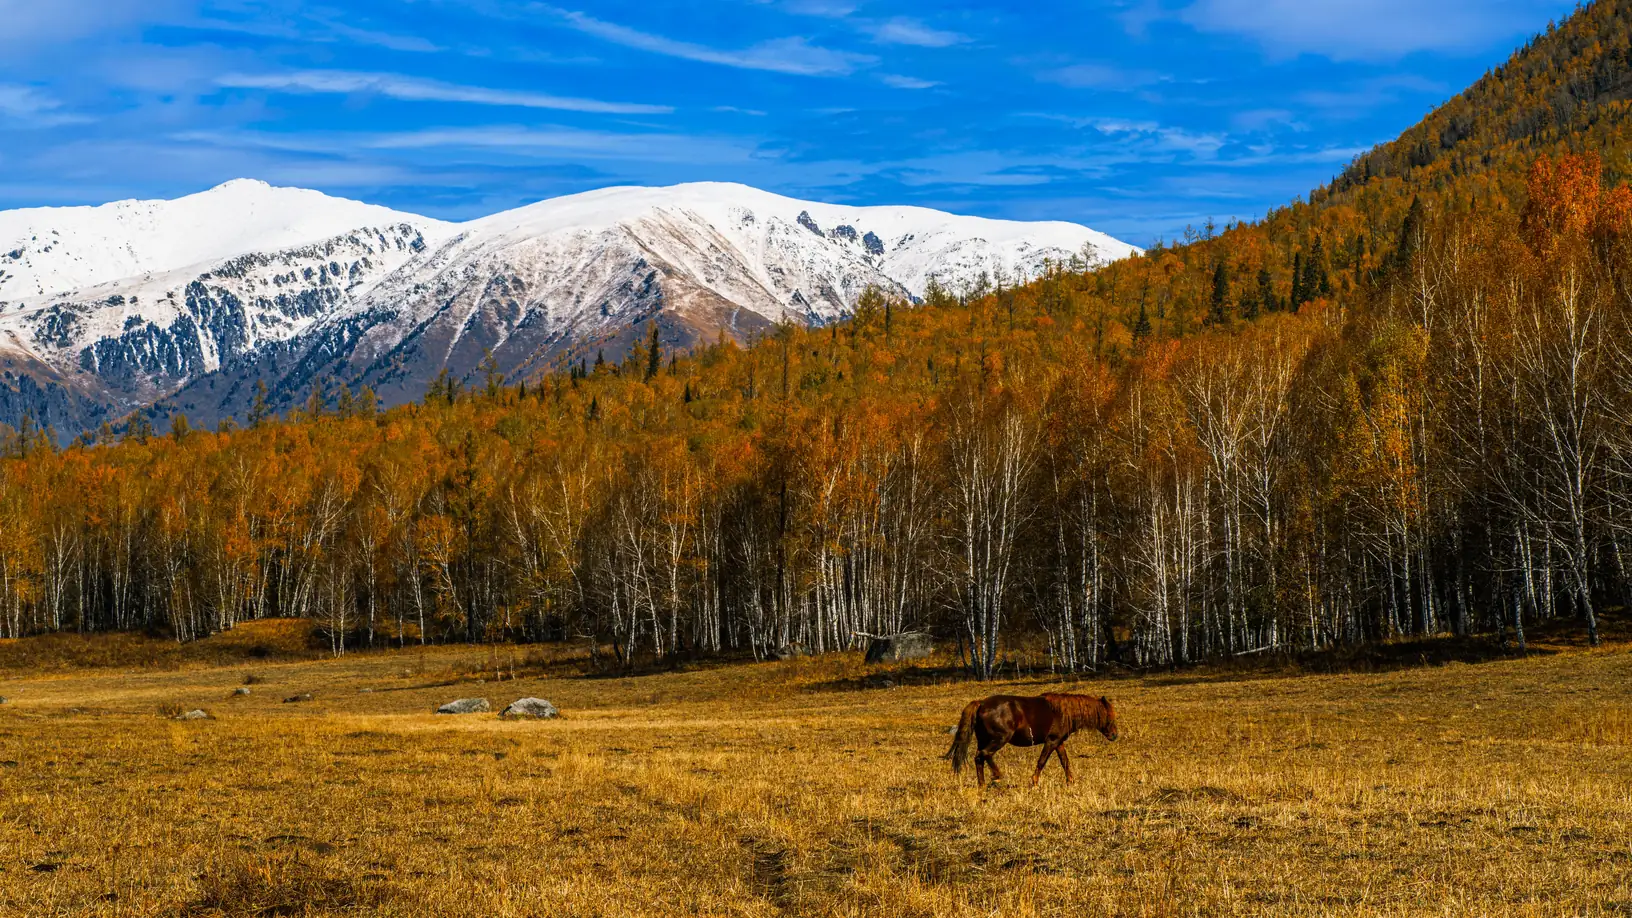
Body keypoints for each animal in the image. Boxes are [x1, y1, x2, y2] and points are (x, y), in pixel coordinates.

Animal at [946, 693, 1118, 787]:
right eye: (1108, 716)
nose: (1114, 735)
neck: (1062, 712)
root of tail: (981, 703)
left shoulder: (1058, 742)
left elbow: (1065, 761)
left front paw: (1070, 781)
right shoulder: (1051, 741)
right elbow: (1042, 761)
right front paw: (1034, 781)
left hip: (984, 739)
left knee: (979, 758)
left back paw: (982, 784)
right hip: (999, 739)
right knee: (984, 754)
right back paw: (997, 776)